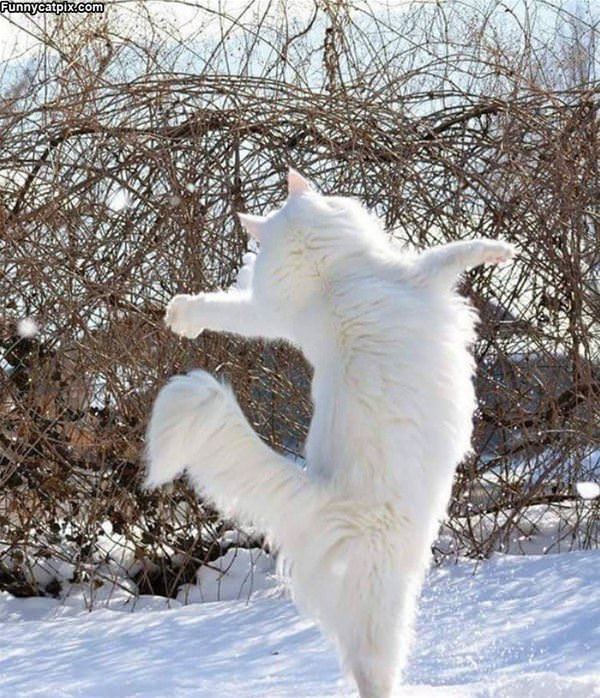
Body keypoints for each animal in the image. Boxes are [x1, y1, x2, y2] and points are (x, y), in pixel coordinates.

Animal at [146, 170, 516, 696]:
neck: (329, 278)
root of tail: (323, 498)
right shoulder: (424, 273)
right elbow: (462, 250)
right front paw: (504, 251)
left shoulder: (273, 316)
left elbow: (229, 309)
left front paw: (184, 315)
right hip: (389, 595)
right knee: (379, 666)